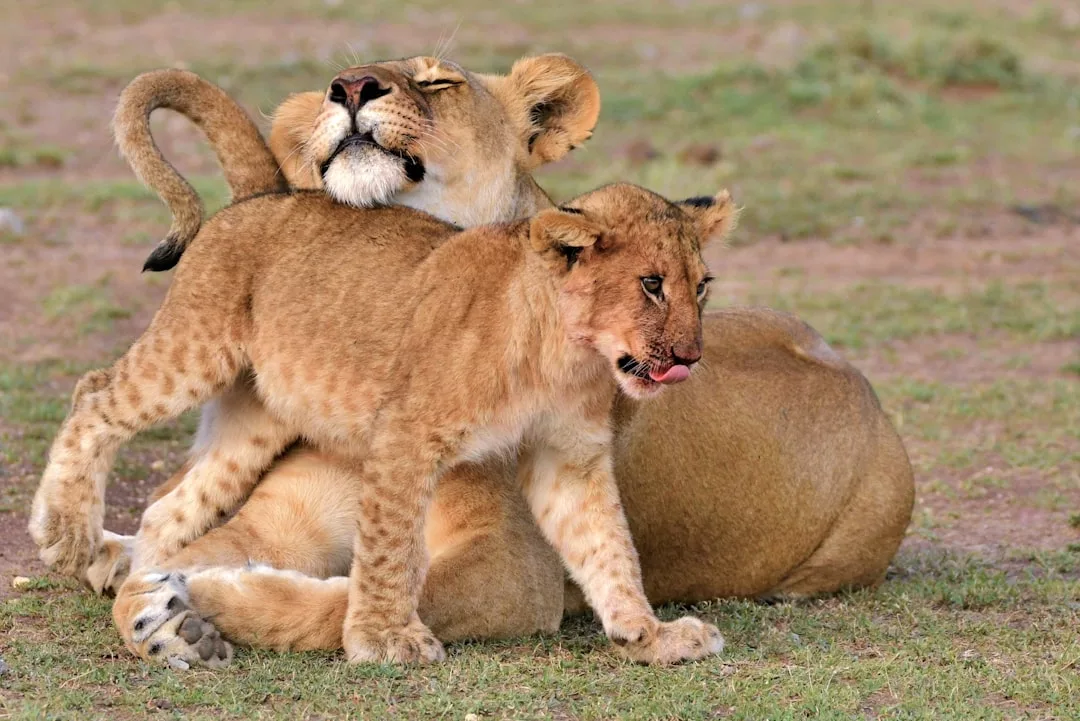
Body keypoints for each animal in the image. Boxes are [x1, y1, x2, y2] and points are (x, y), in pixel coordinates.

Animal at [36, 180, 736, 668]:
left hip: (254, 419)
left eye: (701, 286)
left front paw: (648, 635)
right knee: (94, 396)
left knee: (170, 507)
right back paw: (66, 534)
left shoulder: (569, 457)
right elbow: (390, 547)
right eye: (650, 284)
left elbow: (607, 547)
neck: (566, 356)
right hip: (194, 349)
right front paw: (383, 638)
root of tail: (246, 204)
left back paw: (152, 595)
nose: (691, 357)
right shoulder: (405, 433)